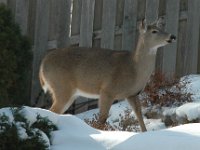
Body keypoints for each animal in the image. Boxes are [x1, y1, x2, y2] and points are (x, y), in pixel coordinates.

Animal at [39, 18, 176, 131]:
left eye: (162, 28)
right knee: (51, 111)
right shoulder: (107, 90)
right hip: (61, 86)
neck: (134, 68)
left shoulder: (132, 94)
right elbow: (102, 119)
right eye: (154, 31)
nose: (173, 36)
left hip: (69, 93)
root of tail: (42, 64)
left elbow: (139, 116)